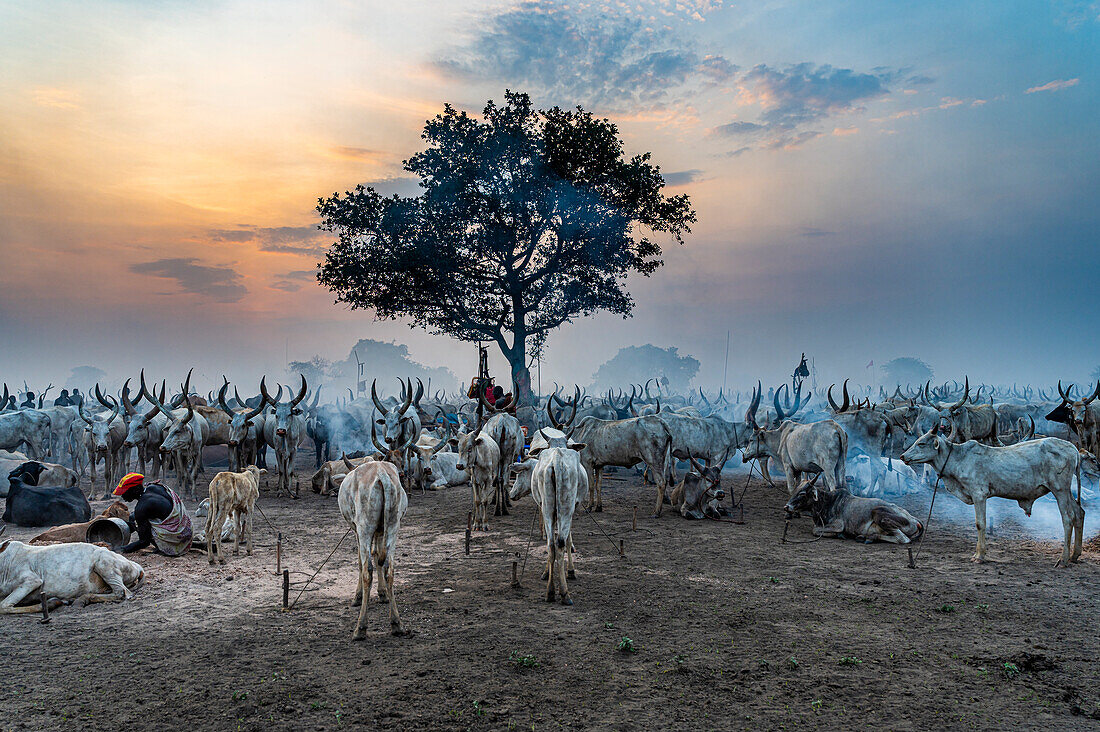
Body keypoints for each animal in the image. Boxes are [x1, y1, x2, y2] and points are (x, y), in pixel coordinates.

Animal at [0, 537, 146, 612]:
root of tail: (137, 566)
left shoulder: (32, 581)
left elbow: (3, 607)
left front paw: (52, 602)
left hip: (105, 564)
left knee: (122, 592)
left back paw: (80, 600)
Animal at [336, 462, 411, 638]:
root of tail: (381, 471)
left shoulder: (357, 531)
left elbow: (361, 562)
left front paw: (358, 597)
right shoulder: (380, 532)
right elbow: (377, 556)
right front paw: (382, 593)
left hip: (365, 527)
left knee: (367, 571)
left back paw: (360, 628)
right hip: (393, 526)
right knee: (389, 569)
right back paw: (396, 624)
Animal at [787, 473, 924, 541]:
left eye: (802, 493)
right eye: (796, 490)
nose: (786, 506)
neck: (827, 502)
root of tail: (914, 520)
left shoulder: (838, 525)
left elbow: (815, 530)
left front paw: (839, 535)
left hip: (879, 514)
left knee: (904, 539)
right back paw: (866, 537)